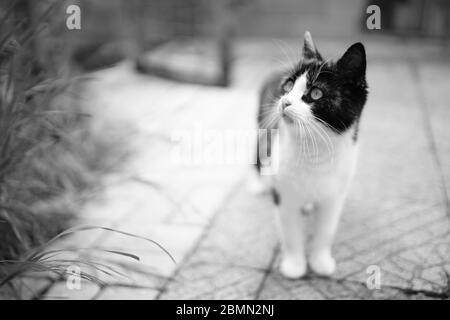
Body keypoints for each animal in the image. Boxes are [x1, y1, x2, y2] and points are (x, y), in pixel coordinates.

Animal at [255, 31, 368, 278]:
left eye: (316, 93)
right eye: (288, 85)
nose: (285, 101)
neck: (314, 150)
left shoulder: (335, 196)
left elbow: (326, 230)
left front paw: (321, 261)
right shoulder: (284, 195)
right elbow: (290, 232)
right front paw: (294, 265)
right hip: (263, 121)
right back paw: (258, 183)